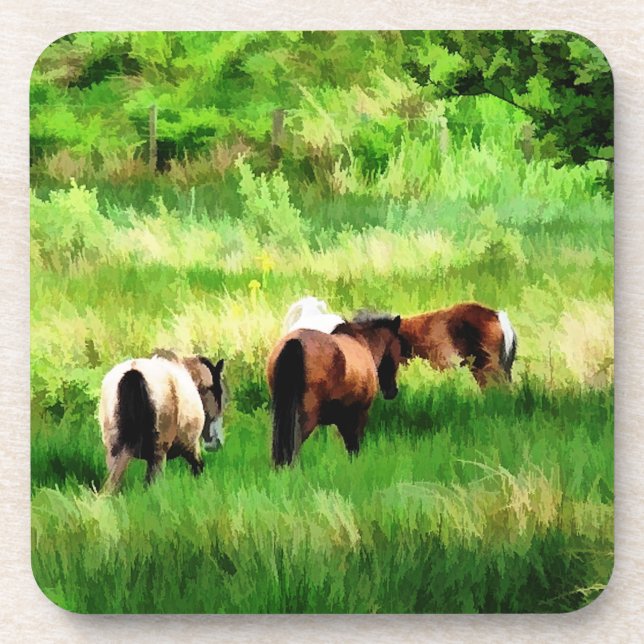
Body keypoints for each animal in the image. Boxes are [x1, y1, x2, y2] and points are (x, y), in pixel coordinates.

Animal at [98, 352, 225, 491]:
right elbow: (198, 467)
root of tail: (134, 370)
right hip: (158, 453)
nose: (216, 443)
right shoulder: (190, 446)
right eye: (218, 392)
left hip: (113, 450)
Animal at [267, 313, 404, 466]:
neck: (363, 344)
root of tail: (294, 342)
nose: (392, 391)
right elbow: (353, 447)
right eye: (398, 349)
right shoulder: (358, 415)